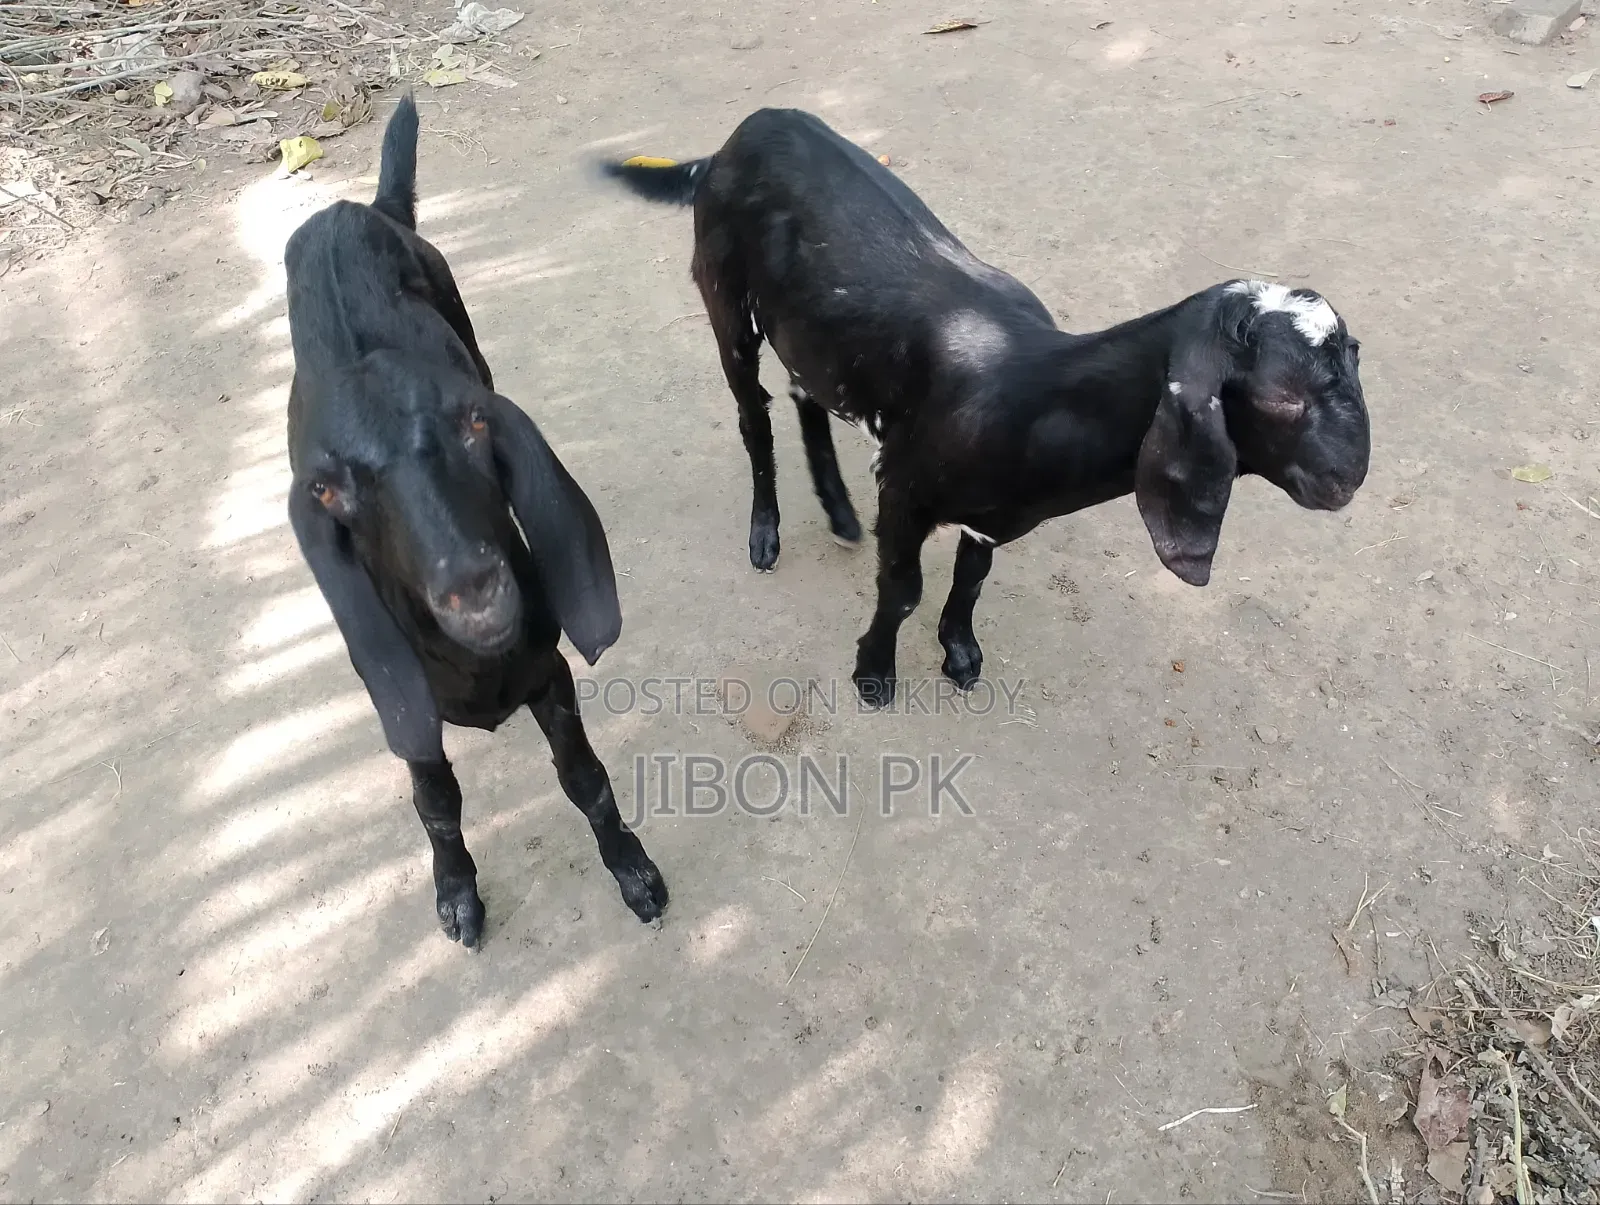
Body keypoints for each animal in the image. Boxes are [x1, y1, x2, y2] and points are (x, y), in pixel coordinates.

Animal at [285, 94, 667, 948]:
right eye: (326, 489)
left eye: (474, 424)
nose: (471, 582)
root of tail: (350, 210)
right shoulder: (406, 706)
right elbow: (436, 804)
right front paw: (457, 894)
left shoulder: (550, 669)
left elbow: (585, 778)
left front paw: (633, 870)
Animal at [602, 107, 1371, 706]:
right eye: (1280, 397)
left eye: (1356, 355)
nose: (1347, 480)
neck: (1031, 394)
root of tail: (738, 136)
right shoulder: (904, 487)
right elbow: (903, 587)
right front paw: (873, 673)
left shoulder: (994, 516)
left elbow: (971, 581)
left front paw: (959, 652)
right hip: (725, 299)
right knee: (753, 413)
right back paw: (766, 534)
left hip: (809, 329)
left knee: (804, 393)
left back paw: (838, 510)